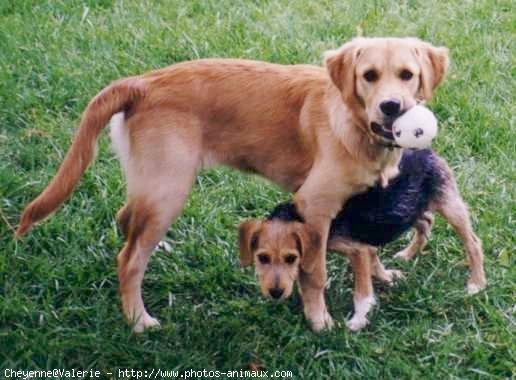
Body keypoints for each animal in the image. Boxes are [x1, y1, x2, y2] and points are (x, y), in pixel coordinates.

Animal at [240, 148, 486, 330]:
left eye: (291, 258)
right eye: (262, 258)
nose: (275, 293)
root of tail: (426, 150)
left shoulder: (357, 250)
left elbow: (362, 292)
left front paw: (357, 321)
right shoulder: (367, 247)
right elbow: (375, 265)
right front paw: (390, 278)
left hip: (449, 204)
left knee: (473, 242)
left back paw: (476, 283)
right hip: (408, 208)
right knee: (426, 221)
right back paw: (407, 253)